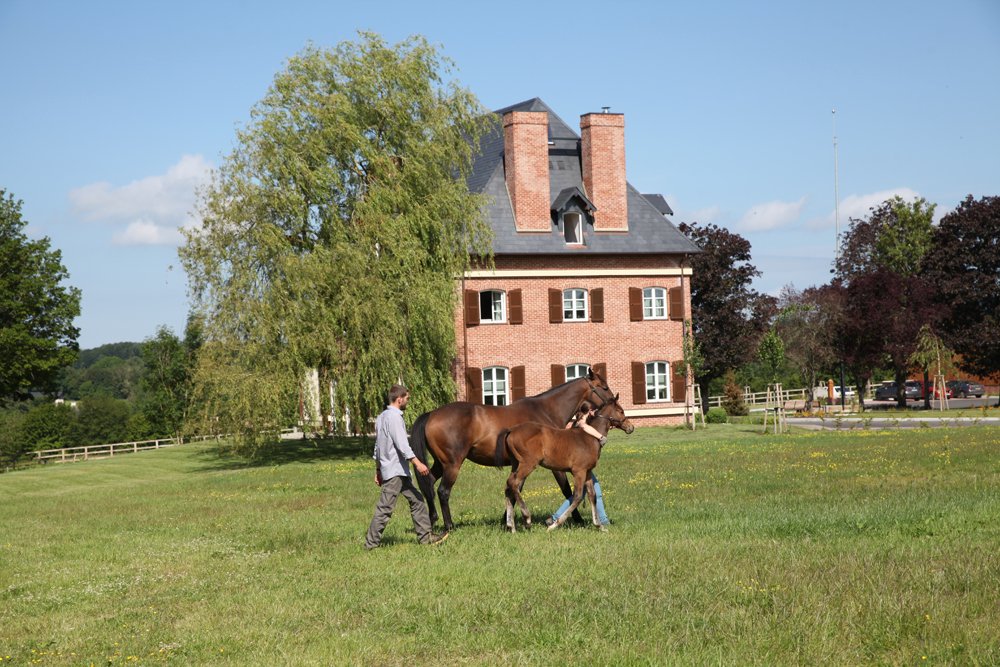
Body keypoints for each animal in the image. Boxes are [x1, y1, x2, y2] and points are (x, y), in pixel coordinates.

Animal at [409, 370, 616, 531]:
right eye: (604, 387)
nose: (614, 401)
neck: (545, 410)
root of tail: (432, 414)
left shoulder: (519, 464)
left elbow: (514, 489)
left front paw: (507, 521)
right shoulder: (553, 466)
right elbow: (568, 491)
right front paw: (575, 520)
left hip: (440, 463)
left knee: (428, 483)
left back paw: (432, 520)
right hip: (452, 464)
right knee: (443, 491)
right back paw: (449, 525)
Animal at [498, 394, 634, 533]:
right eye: (621, 411)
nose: (631, 427)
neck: (590, 437)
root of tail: (511, 430)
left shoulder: (587, 472)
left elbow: (592, 496)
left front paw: (599, 525)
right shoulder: (579, 471)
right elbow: (577, 497)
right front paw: (554, 525)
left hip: (516, 464)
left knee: (508, 486)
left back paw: (511, 526)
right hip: (528, 464)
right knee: (513, 483)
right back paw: (527, 518)